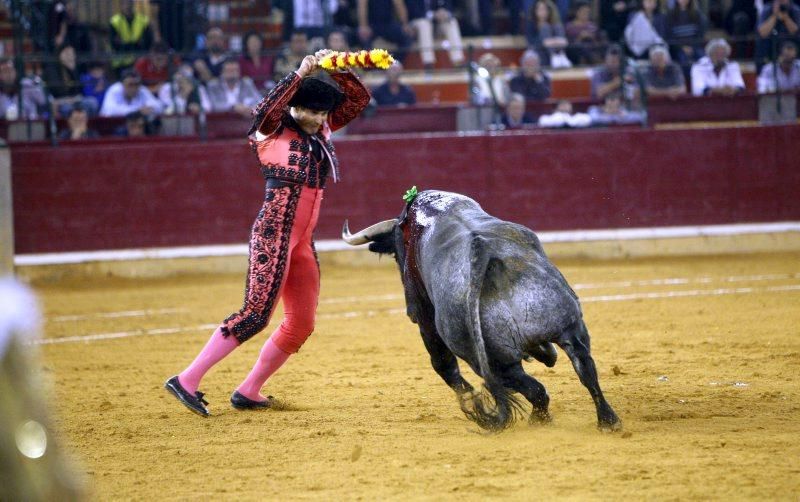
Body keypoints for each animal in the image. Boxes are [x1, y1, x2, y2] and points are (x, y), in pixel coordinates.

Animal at [340, 189, 620, 432]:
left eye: (398, 255)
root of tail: (484, 252)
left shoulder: (423, 313)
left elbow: (442, 364)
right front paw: (544, 354)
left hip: (487, 358)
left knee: (533, 389)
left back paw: (539, 420)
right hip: (569, 325)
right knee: (584, 368)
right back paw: (607, 421)